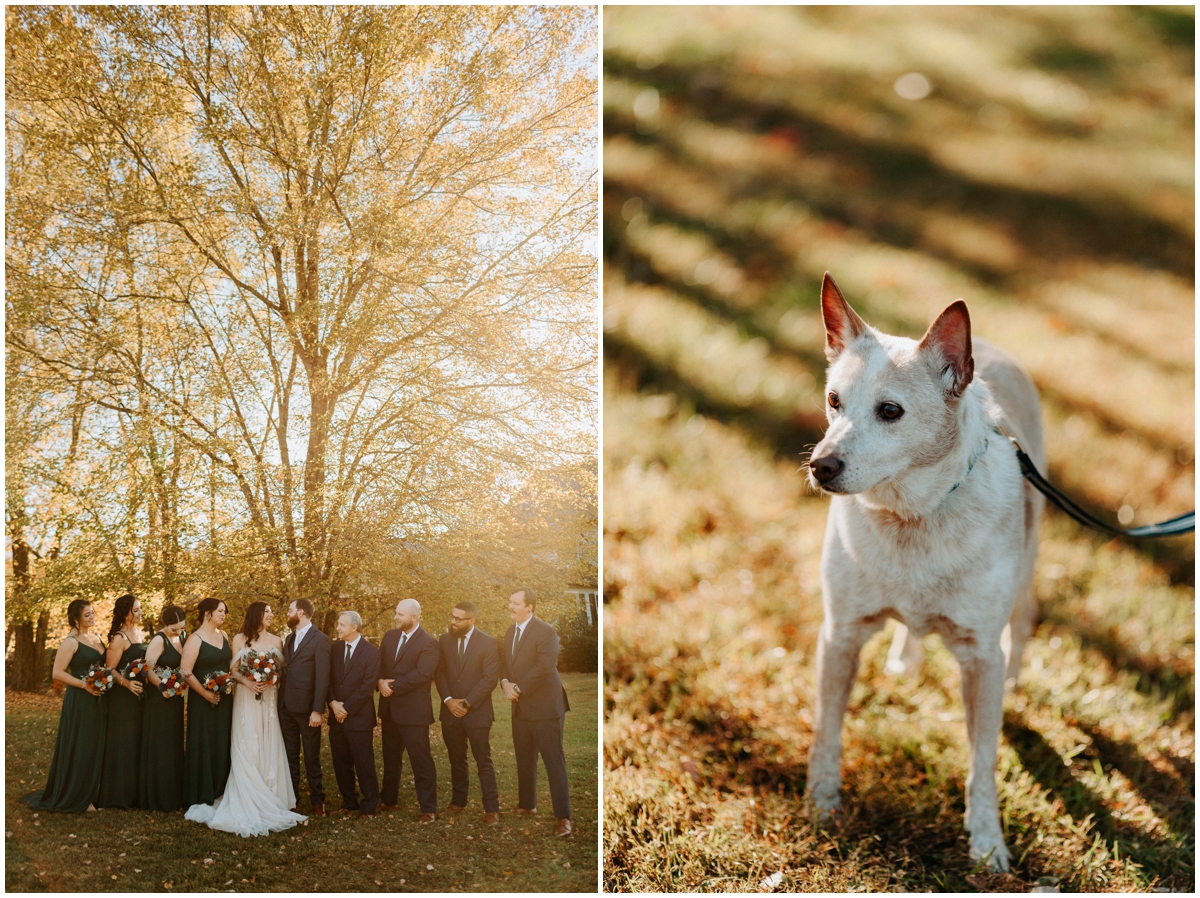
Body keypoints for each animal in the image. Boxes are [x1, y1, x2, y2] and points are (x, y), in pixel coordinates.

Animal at [806, 271, 1041, 869]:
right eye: (834, 400)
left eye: (890, 411)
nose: (820, 466)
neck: (911, 518)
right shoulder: (839, 634)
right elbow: (827, 731)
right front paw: (821, 803)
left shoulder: (980, 654)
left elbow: (982, 761)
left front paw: (987, 841)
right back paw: (903, 658)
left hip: (1029, 571)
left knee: (1023, 626)